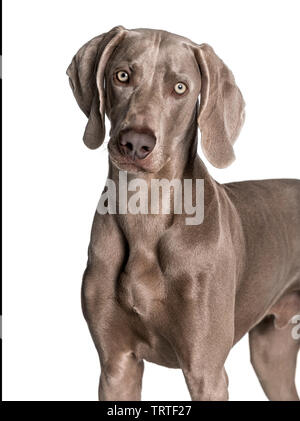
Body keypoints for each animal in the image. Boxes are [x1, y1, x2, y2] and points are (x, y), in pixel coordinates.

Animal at [67, 26, 300, 400]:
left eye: (180, 88)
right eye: (122, 75)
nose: (136, 143)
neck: (145, 211)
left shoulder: (206, 371)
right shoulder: (116, 366)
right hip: (271, 351)